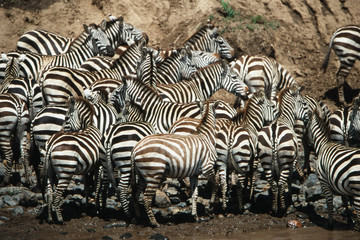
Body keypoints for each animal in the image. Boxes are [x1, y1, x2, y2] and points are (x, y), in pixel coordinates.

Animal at [42, 96, 104, 224]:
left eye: (66, 118)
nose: (60, 131)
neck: (90, 126)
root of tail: (51, 144)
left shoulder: (87, 167)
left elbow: (87, 187)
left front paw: (87, 206)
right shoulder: (98, 165)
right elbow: (97, 185)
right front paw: (97, 208)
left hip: (50, 171)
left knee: (49, 193)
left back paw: (50, 218)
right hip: (66, 171)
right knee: (57, 195)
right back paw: (60, 219)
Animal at [256, 85, 310, 214]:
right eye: (304, 103)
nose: (309, 117)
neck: (284, 118)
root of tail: (274, 131)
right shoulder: (292, 160)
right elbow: (289, 179)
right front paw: (289, 196)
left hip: (266, 160)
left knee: (273, 184)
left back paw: (274, 208)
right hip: (285, 160)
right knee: (280, 183)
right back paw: (283, 208)